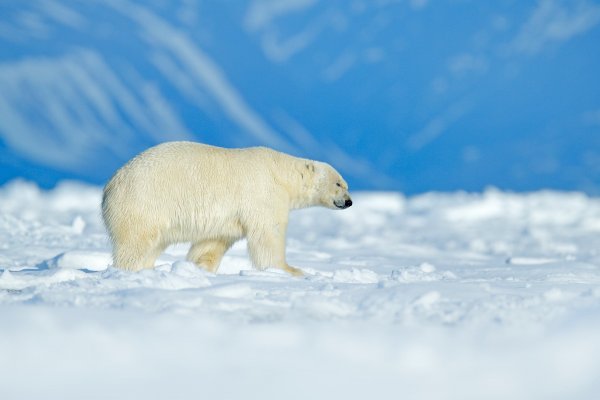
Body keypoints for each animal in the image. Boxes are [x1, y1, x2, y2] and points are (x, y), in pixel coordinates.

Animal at [100, 142, 350, 276]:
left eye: (345, 184)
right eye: (339, 183)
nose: (349, 201)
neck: (281, 173)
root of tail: (110, 185)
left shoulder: (227, 218)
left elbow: (212, 243)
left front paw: (200, 268)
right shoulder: (263, 194)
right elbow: (269, 234)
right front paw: (290, 270)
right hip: (143, 204)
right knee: (136, 243)